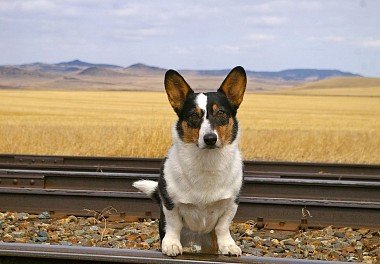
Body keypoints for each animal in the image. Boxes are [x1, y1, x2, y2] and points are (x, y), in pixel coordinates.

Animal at [133, 66, 246, 256]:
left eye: (221, 113)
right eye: (193, 115)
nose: (210, 139)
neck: (207, 162)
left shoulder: (231, 203)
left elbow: (223, 226)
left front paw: (229, 246)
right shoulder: (170, 203)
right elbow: (174, 224)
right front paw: (172, 244)